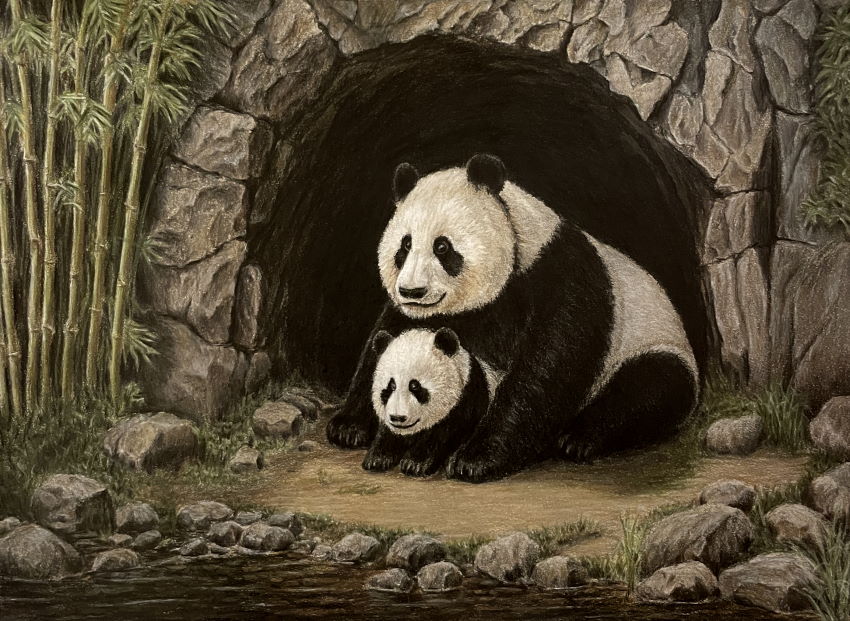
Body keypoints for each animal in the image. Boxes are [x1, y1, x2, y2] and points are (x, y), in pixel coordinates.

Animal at [363, 327, 496, 477]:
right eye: (391, 386)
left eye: (415, 386)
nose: (398, 417)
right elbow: (386, 432)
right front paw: (377, 459)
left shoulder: (467, 402)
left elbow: (441, 435)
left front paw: (414, 464)